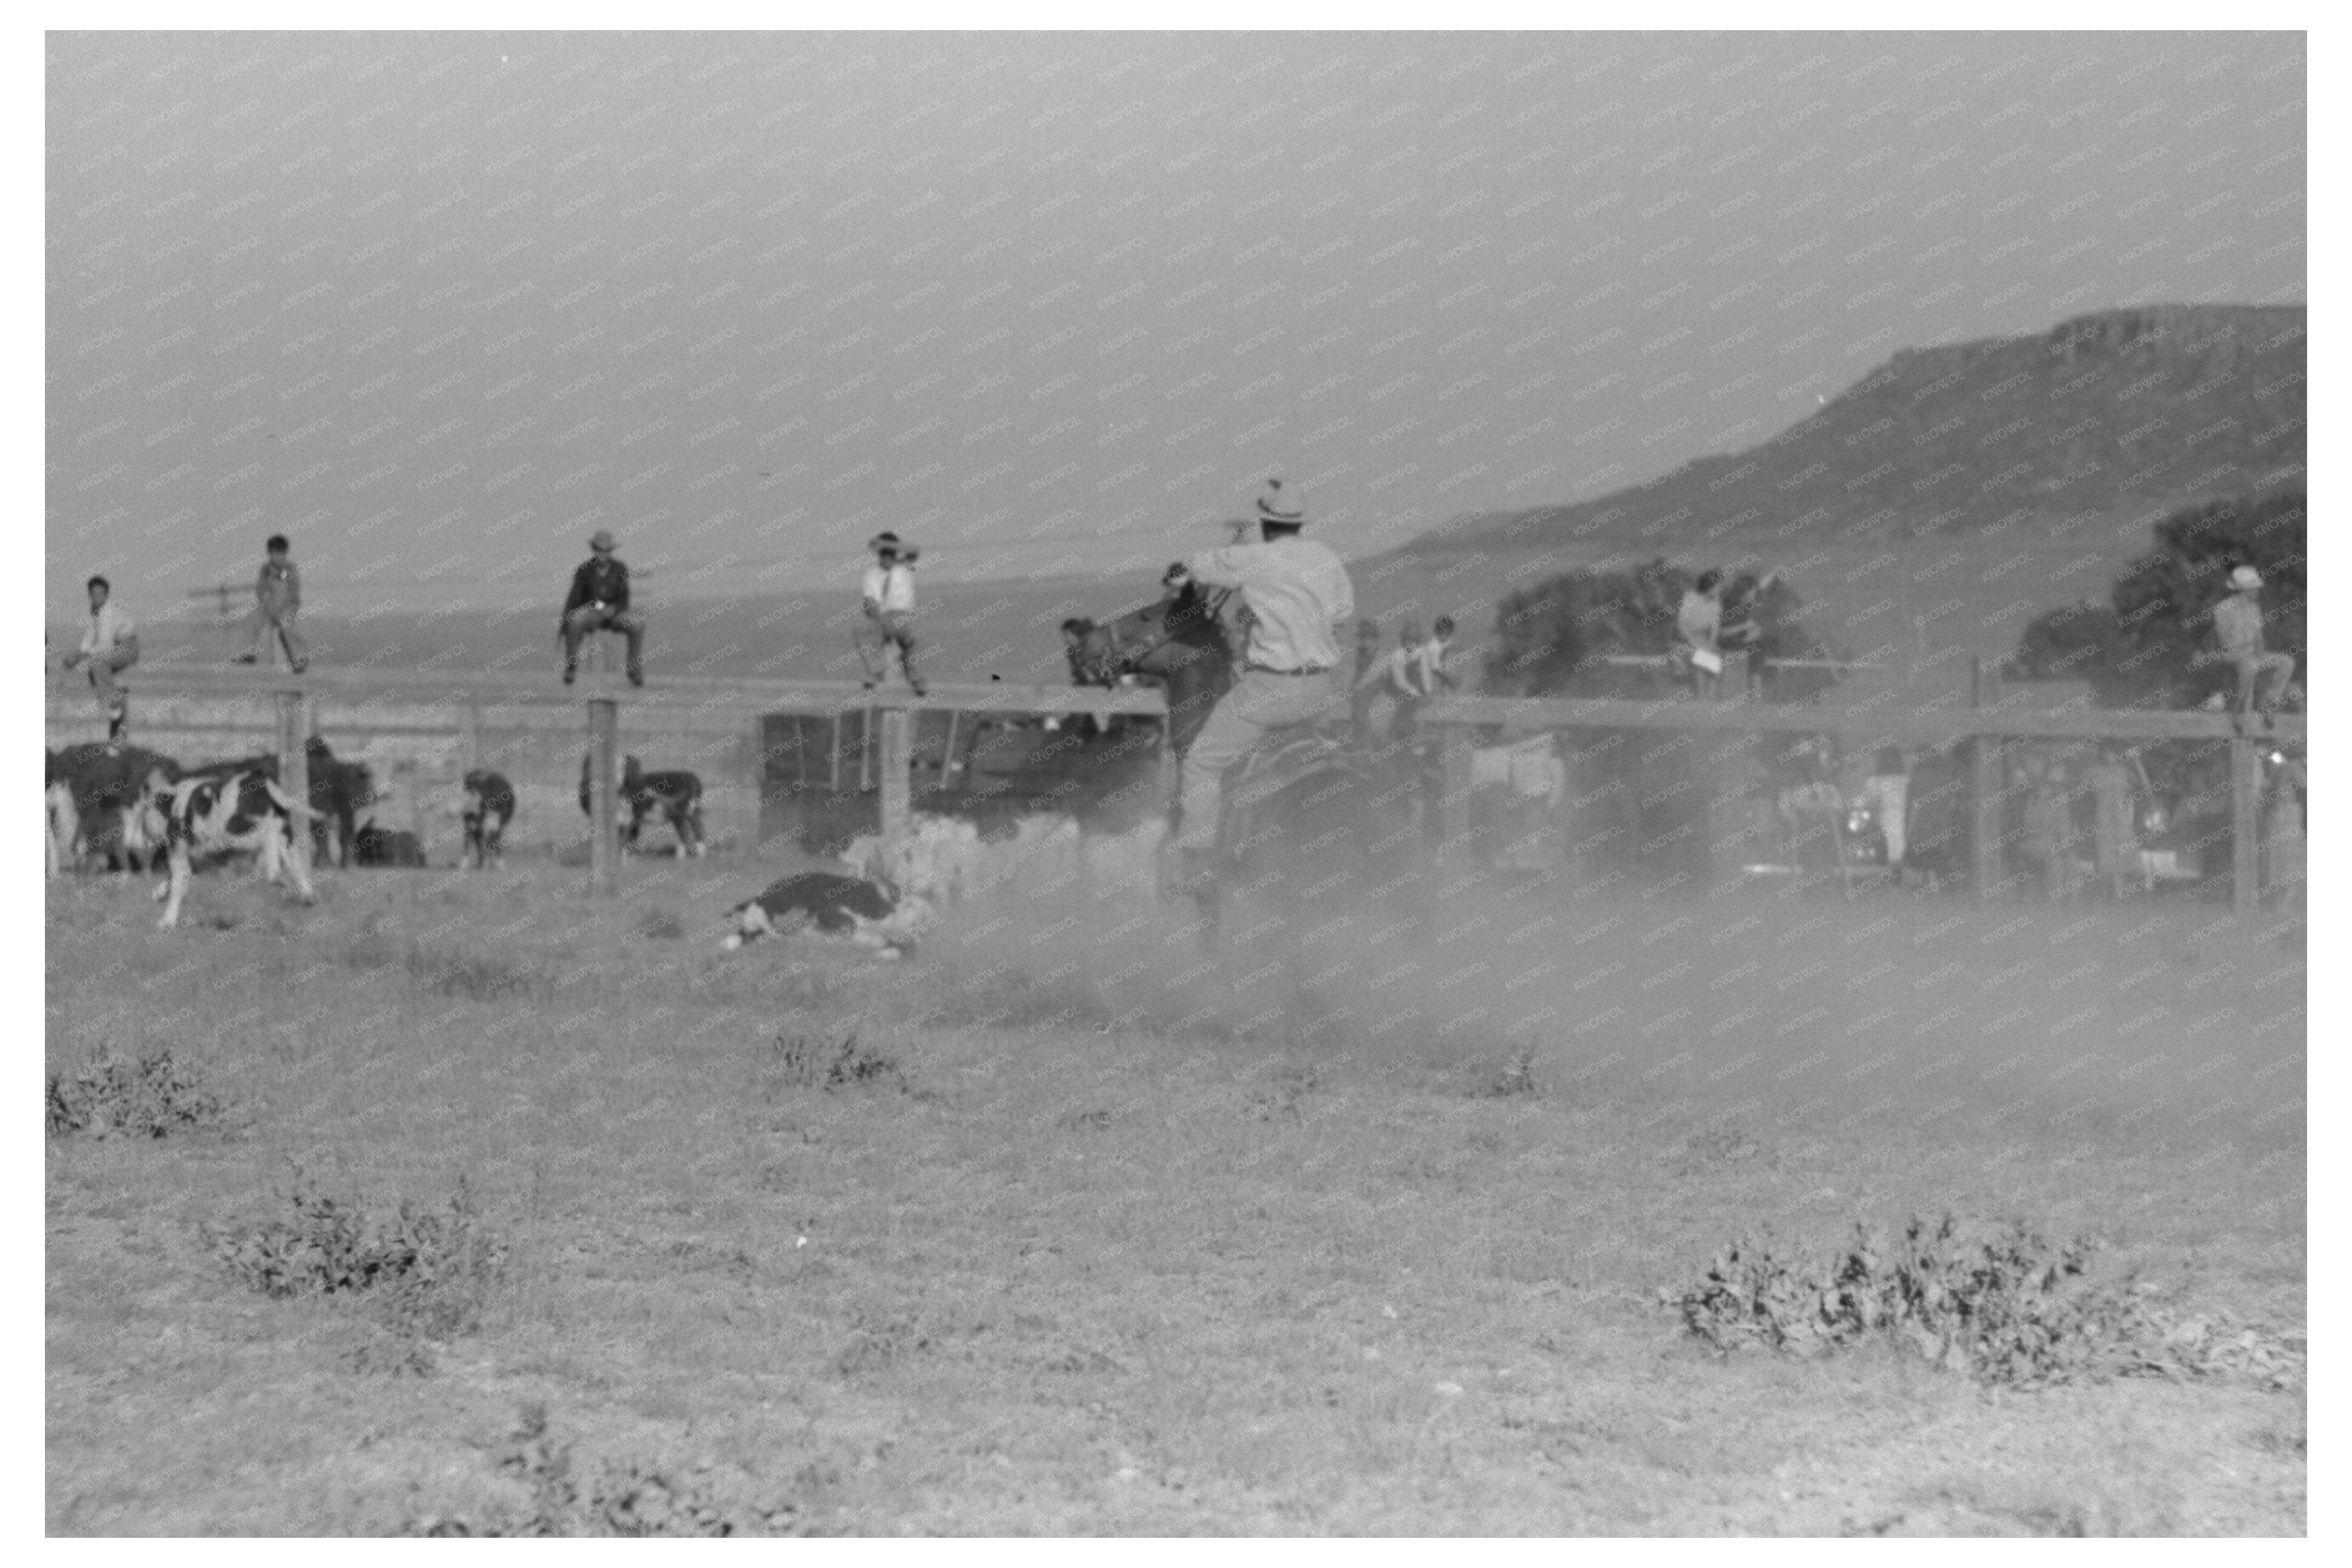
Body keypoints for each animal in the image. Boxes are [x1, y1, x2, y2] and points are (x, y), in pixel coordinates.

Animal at [136, 767, 317, 929]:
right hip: (281, 831)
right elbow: (174, 879)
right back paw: (308, 896)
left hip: (244, 831)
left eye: (143, 814)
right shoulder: (194, 855)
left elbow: (178, 883)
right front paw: (158, 896)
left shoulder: (178, 849)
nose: (145, 839)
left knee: (271, 846)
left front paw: (165, 922)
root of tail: (259, 778)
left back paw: (277, 876)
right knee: (293, 860)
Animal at [580, 751, 706, 857]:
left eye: (623, 767)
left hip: (679, 811)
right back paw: (701, 854)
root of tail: (691, 776)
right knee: (697, 827)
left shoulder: (633, 816)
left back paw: (681, 857)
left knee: (686, 830)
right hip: (691, 810)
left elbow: (626, 839)